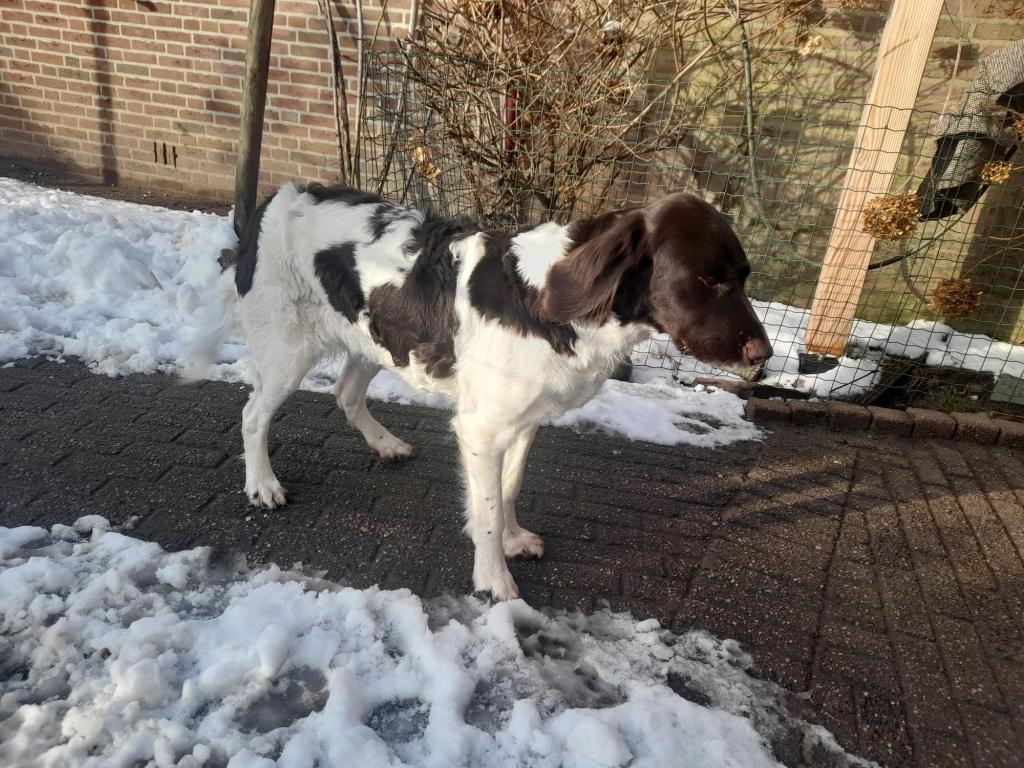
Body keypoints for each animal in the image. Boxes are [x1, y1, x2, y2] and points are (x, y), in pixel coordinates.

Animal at [198, 183, 772, 599]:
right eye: (709, 280)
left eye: (742, 278)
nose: (764, 355)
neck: (547, 297)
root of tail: (277, 198)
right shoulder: (482, 428)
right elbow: (491, 507)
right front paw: (493, 578)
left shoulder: (520, 422)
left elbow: (506, 490)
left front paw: (510, 539)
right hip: (287, 352)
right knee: (253, 415)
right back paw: (263, 485)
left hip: (378, 339)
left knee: (346, 393)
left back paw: (385, 444)